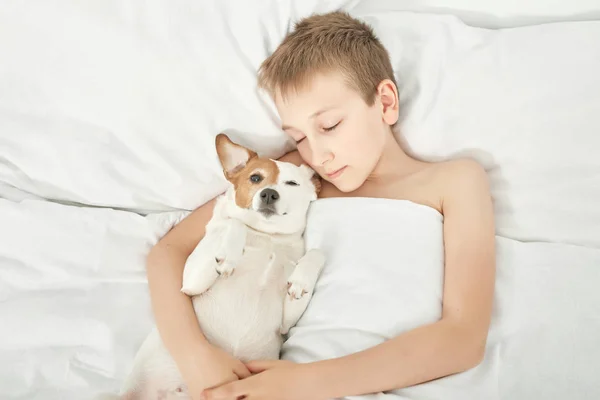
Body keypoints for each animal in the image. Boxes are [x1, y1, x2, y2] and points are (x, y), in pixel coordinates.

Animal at [99, 134, 326, 400]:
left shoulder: (286, 323)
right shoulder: (190, 282)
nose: (269, 194)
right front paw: (229, 253)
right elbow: (234, 223)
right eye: (255, 178)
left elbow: (317, 253)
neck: (266, 236)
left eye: (291, 183)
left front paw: (301, 280)